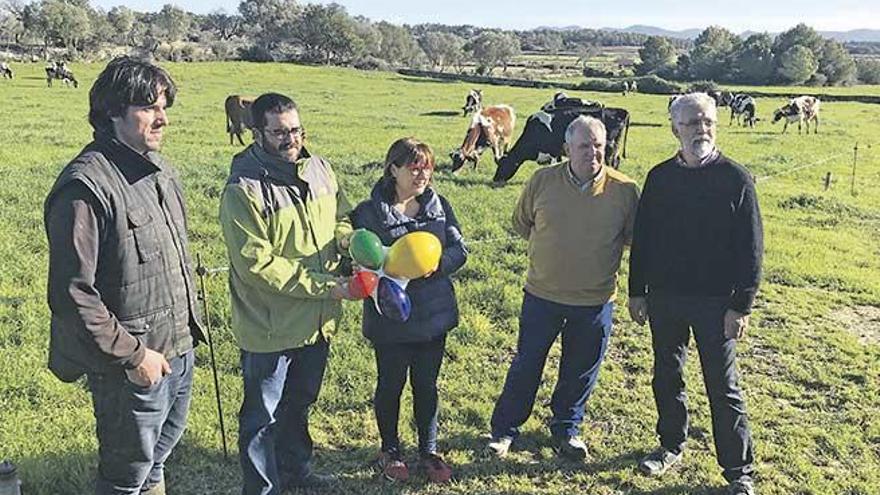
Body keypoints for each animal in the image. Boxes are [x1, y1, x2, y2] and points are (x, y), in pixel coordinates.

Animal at [492, 95, 628, 184]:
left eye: (503, 165)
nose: (495, 179)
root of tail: (619, 110)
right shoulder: (557, 153)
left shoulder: (553, 152)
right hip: (615, 148)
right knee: (617, 161)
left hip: (609, 148)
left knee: (611, 163)